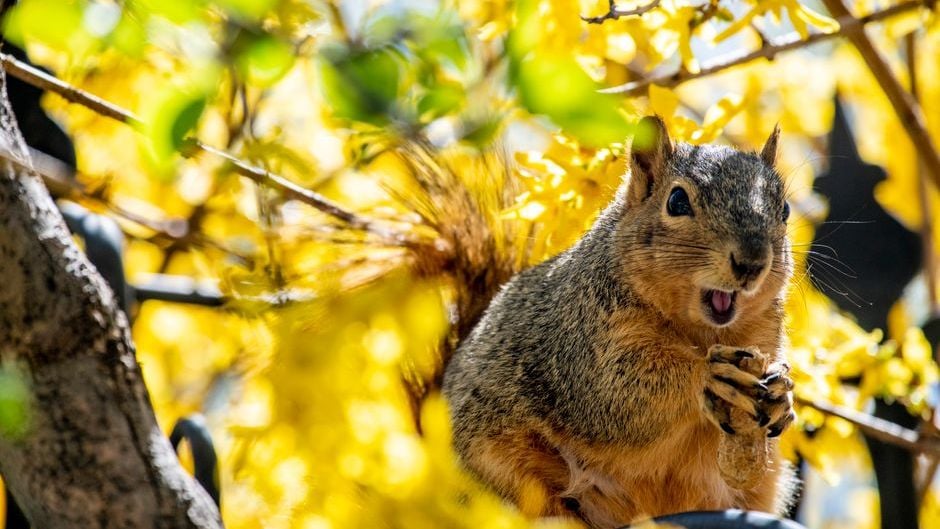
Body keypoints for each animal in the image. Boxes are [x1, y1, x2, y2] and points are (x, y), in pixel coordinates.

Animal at [440, 116, 798, 528]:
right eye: (677, 201)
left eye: (785, 209)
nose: (752, 262)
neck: (705, 333)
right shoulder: (579, 345)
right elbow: (617, 395)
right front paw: (708, 375)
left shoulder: (763, 339)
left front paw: (782, 396)